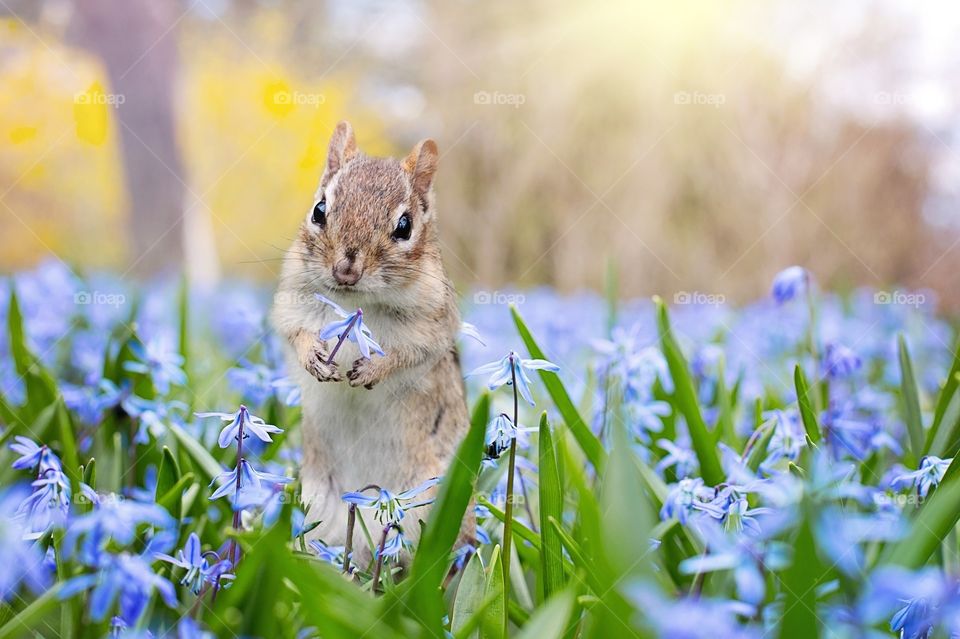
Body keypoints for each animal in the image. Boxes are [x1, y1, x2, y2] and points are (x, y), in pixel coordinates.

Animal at [271, 121, 471, 561]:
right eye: (319, 210)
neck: (353, 301)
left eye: (404, 226)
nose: (346, 269)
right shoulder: (291, 302)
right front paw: (314, 358)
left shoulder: (431, 324)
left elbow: (408, 354)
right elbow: (296, 333)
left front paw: (372, 369)